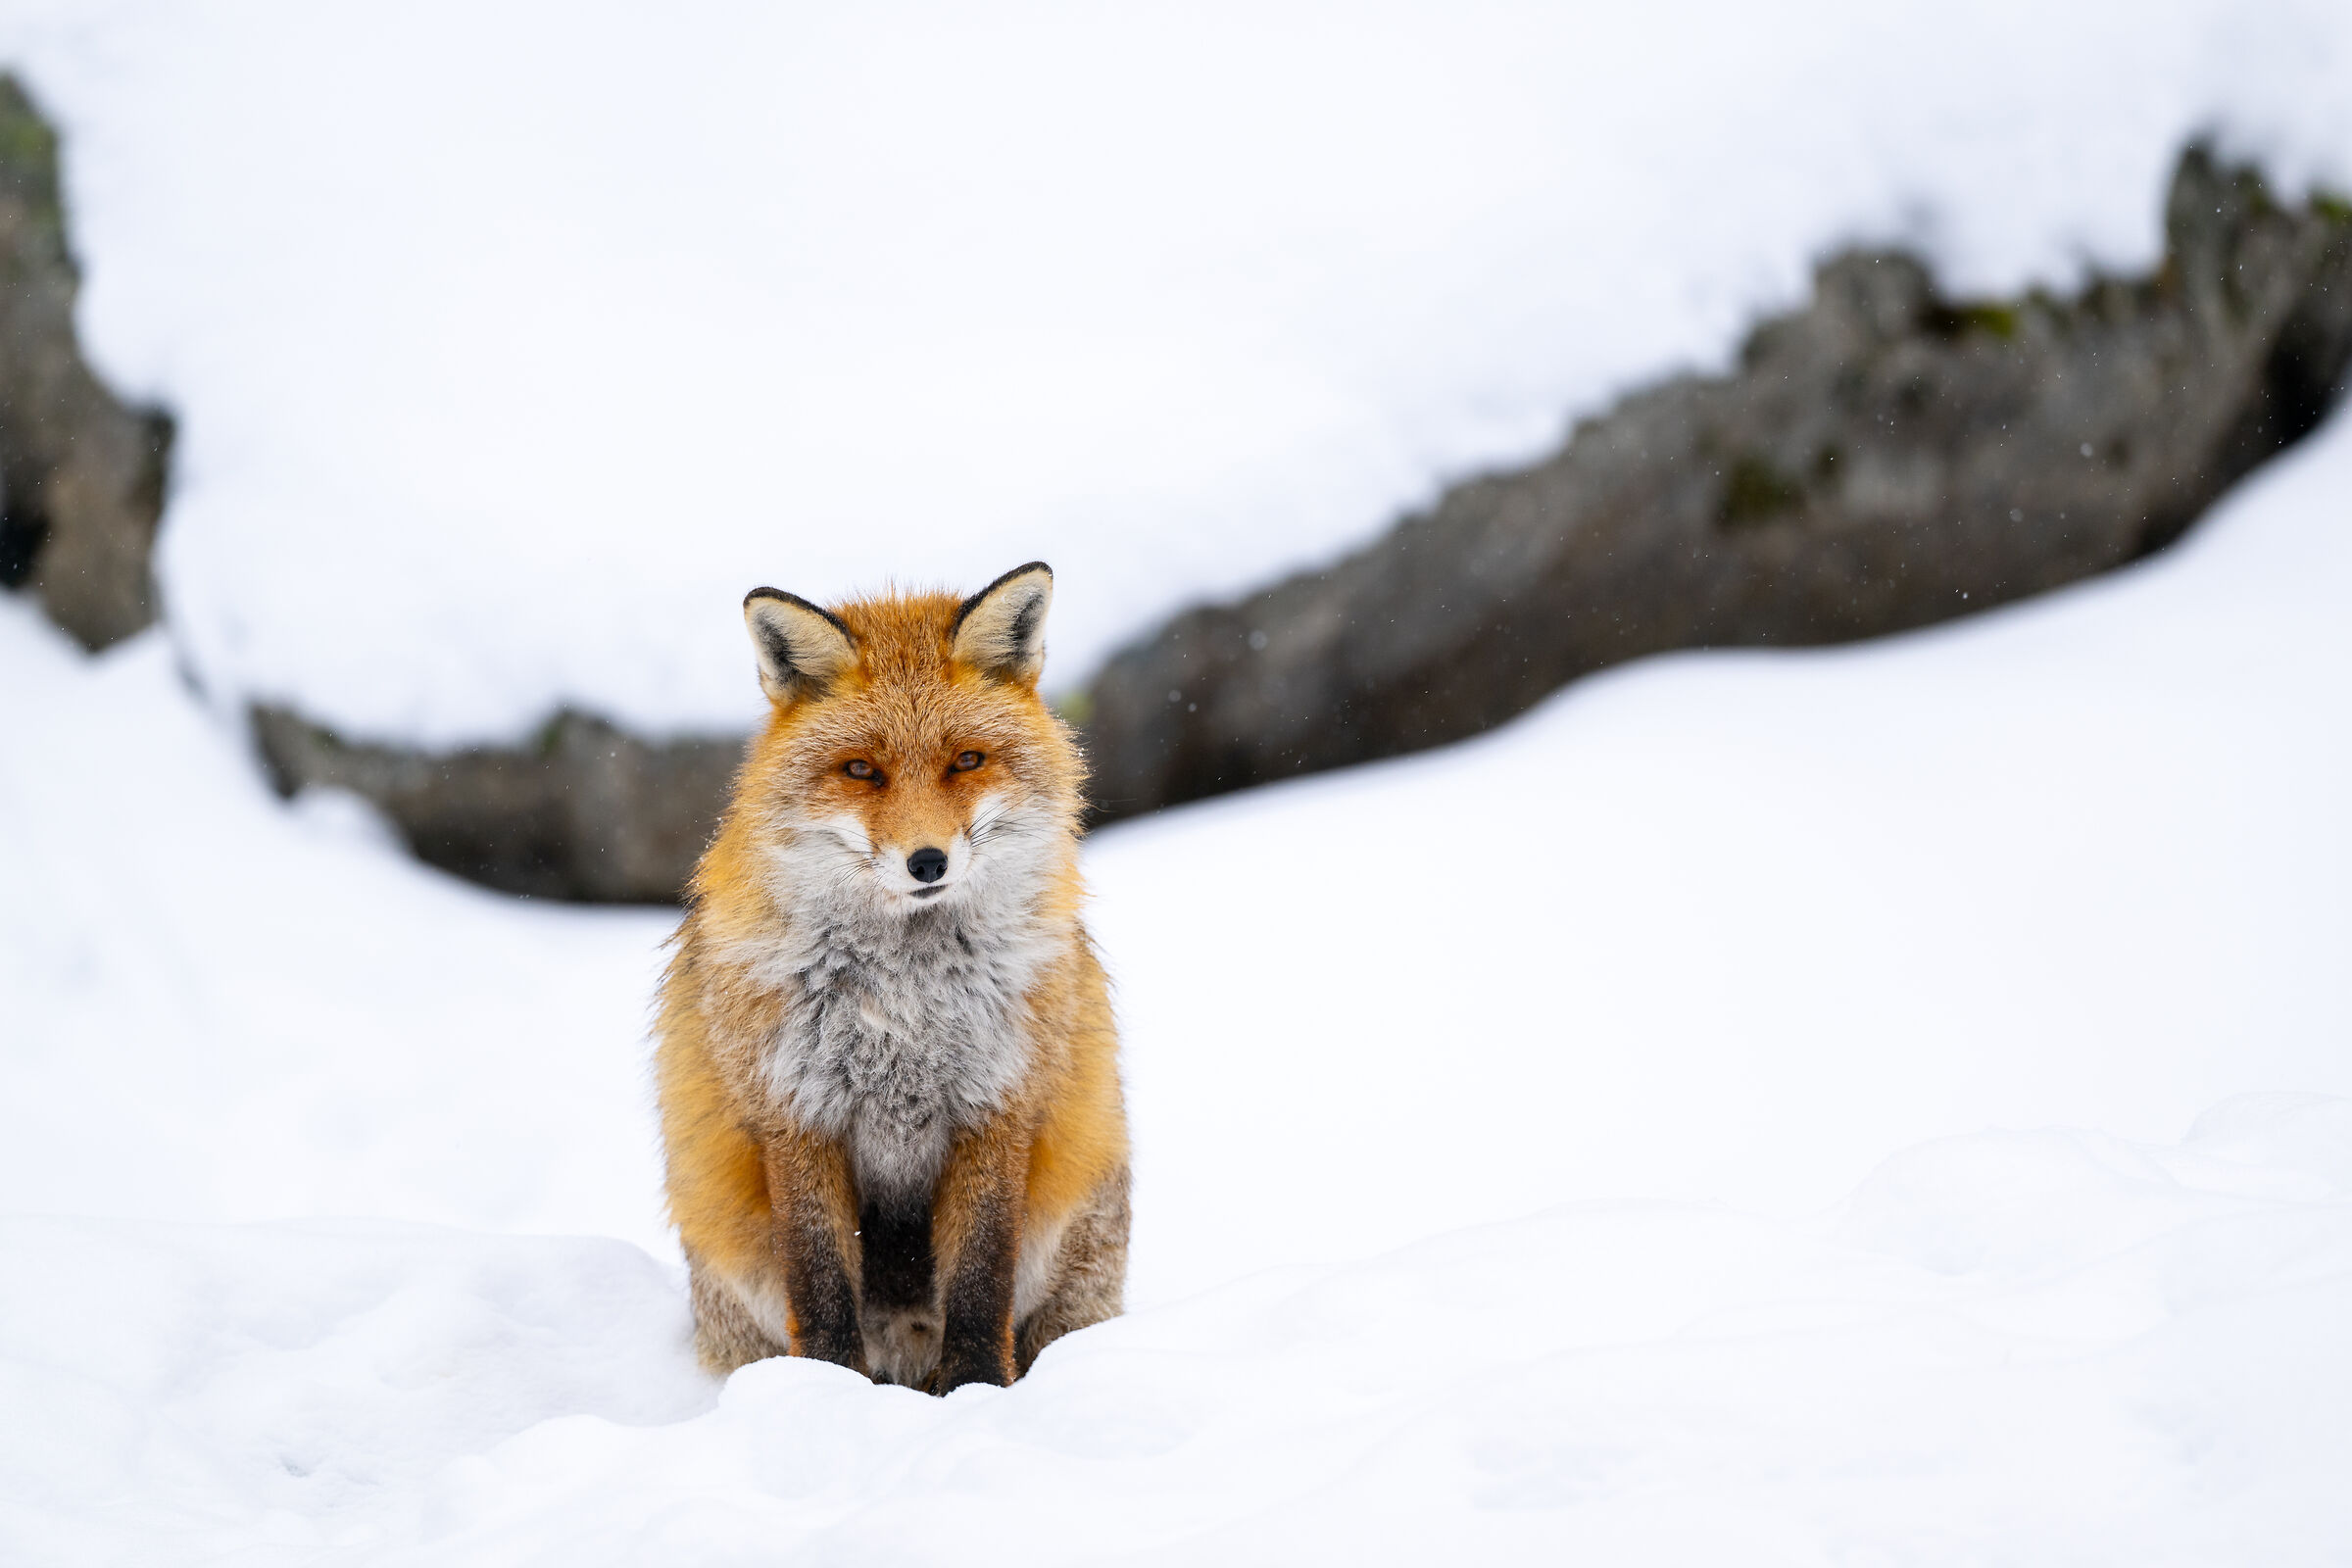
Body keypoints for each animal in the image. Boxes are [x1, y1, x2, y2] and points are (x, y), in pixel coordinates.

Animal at [654, 562, 1129, 1392]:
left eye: (966, 761)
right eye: (861, 771)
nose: (927, 863)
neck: (908, 997)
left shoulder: (997, 1106)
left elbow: (979, 1282)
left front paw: (979, 1393)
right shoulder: (797, 1114)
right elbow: (821, 1287)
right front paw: (824, 1396)